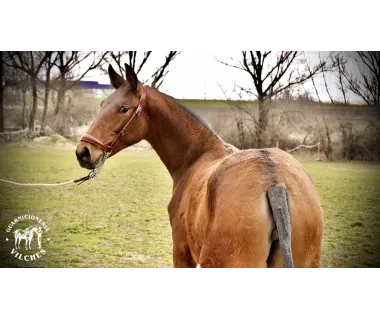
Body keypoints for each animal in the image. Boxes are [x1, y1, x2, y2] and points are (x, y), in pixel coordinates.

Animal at [76, 63, 324, 268]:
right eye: (102, 104)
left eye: (123, 109)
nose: (83, 152)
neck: (198, 155)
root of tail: (275, 184)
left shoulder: (181, 253)